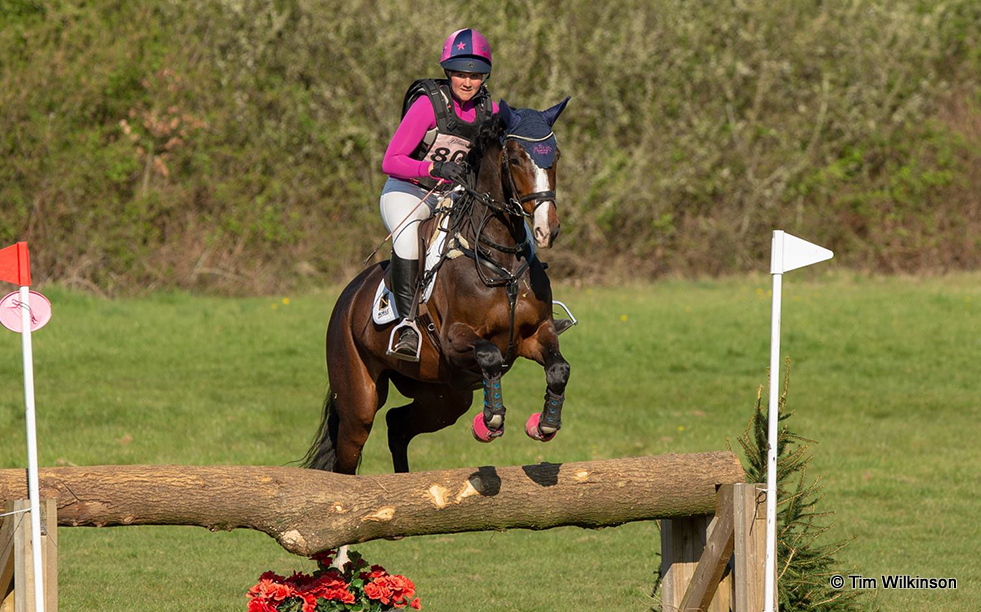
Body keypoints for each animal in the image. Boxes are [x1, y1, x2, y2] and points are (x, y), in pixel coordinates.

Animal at [302, 97, 573, 477]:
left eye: (556, 155)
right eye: (516, 157)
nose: (548, 229)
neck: (499, 256)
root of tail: (348, 296)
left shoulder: (535, 334)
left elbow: (559, 369)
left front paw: (545, 424)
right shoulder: (455, 340)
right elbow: (489, 356)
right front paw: (491, 421)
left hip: (444, 395)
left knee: (397, 425)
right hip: (359, 399)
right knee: (350, 451)